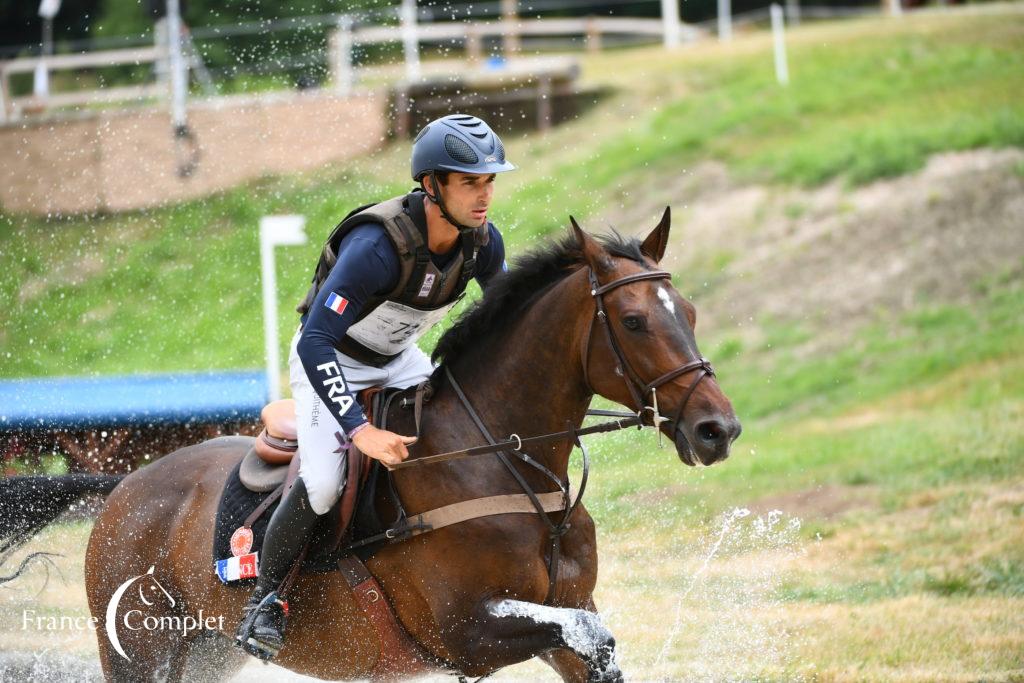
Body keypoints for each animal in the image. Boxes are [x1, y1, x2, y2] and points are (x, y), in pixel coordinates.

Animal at [0, 210, 737, 679]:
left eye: (691, 314)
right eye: (635, 321)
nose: (718, 429)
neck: (506, 461)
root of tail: (127, 484)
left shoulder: (564, 613)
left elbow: (593, 642)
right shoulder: (464, 632)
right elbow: (591, 635)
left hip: (206, 652)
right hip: (140, 649)